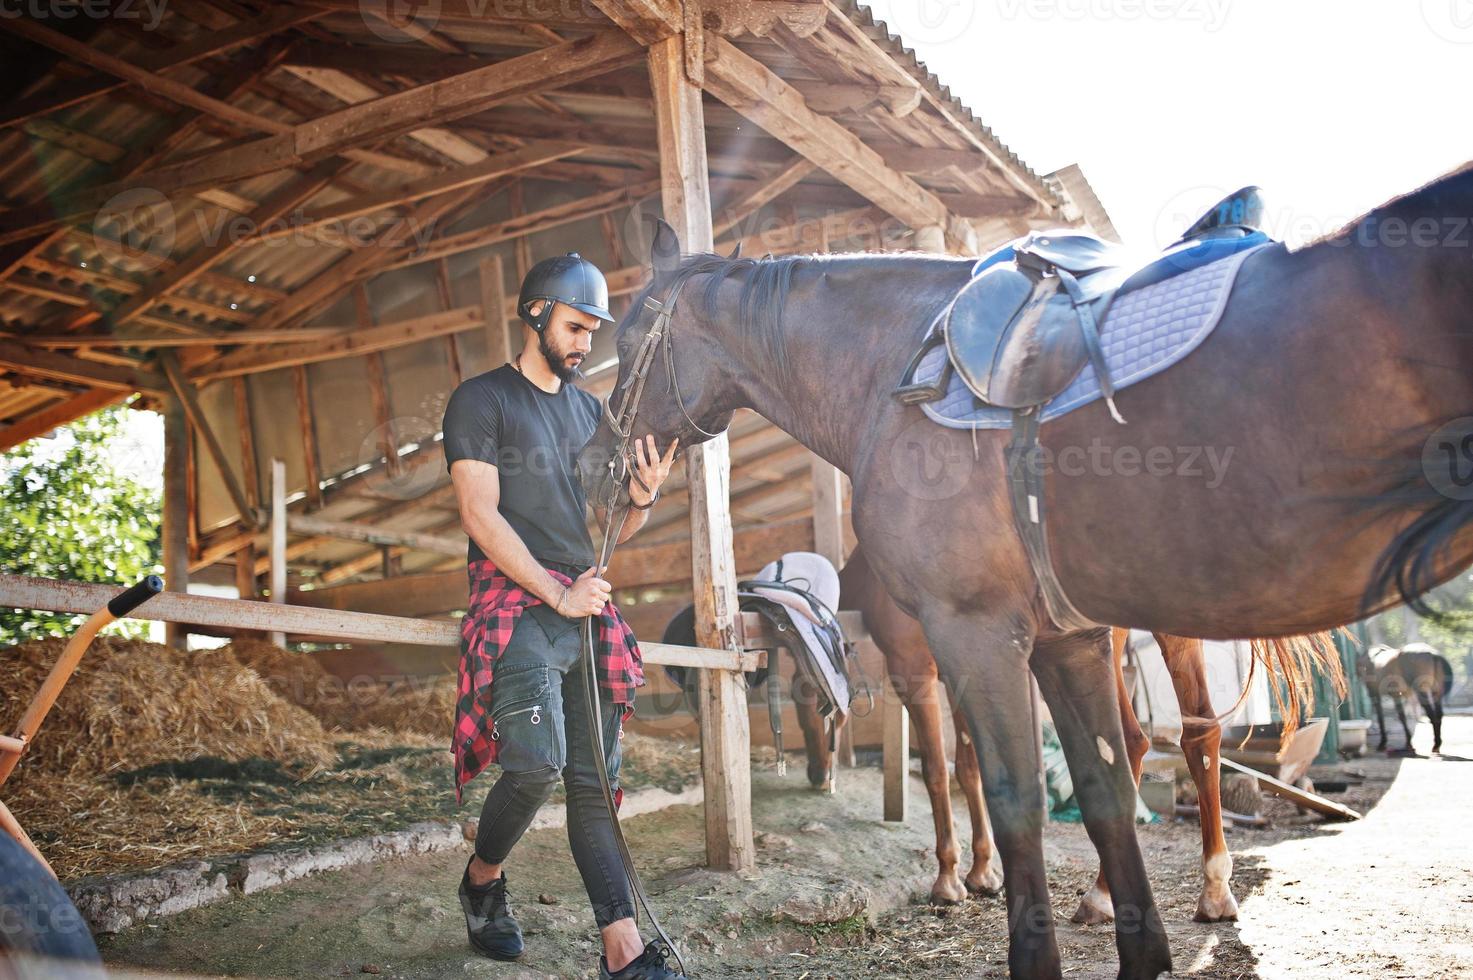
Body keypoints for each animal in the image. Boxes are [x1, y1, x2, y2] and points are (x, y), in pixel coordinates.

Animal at [583, 164, 1473, 972]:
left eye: (623, 345)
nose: (596, 468)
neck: (893, 371)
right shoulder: (1058, 641)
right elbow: (1095, 789)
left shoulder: (959, 640)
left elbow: (990, 789)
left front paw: (962, 880)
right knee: (1158, 746)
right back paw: (1143, 895)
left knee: (1194, 738)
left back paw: (1213, 889)